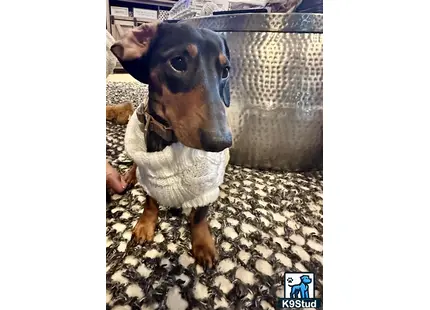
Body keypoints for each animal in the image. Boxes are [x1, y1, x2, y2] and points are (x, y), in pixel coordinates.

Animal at [111, 23, 232, 268]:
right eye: (178, 62)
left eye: (225, 70)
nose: (221, 141)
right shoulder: (149, 177)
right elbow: (150, 202)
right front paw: (145, 225)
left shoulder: (208, 185)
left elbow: (200, 215)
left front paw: (203, 243)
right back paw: (129, 176)